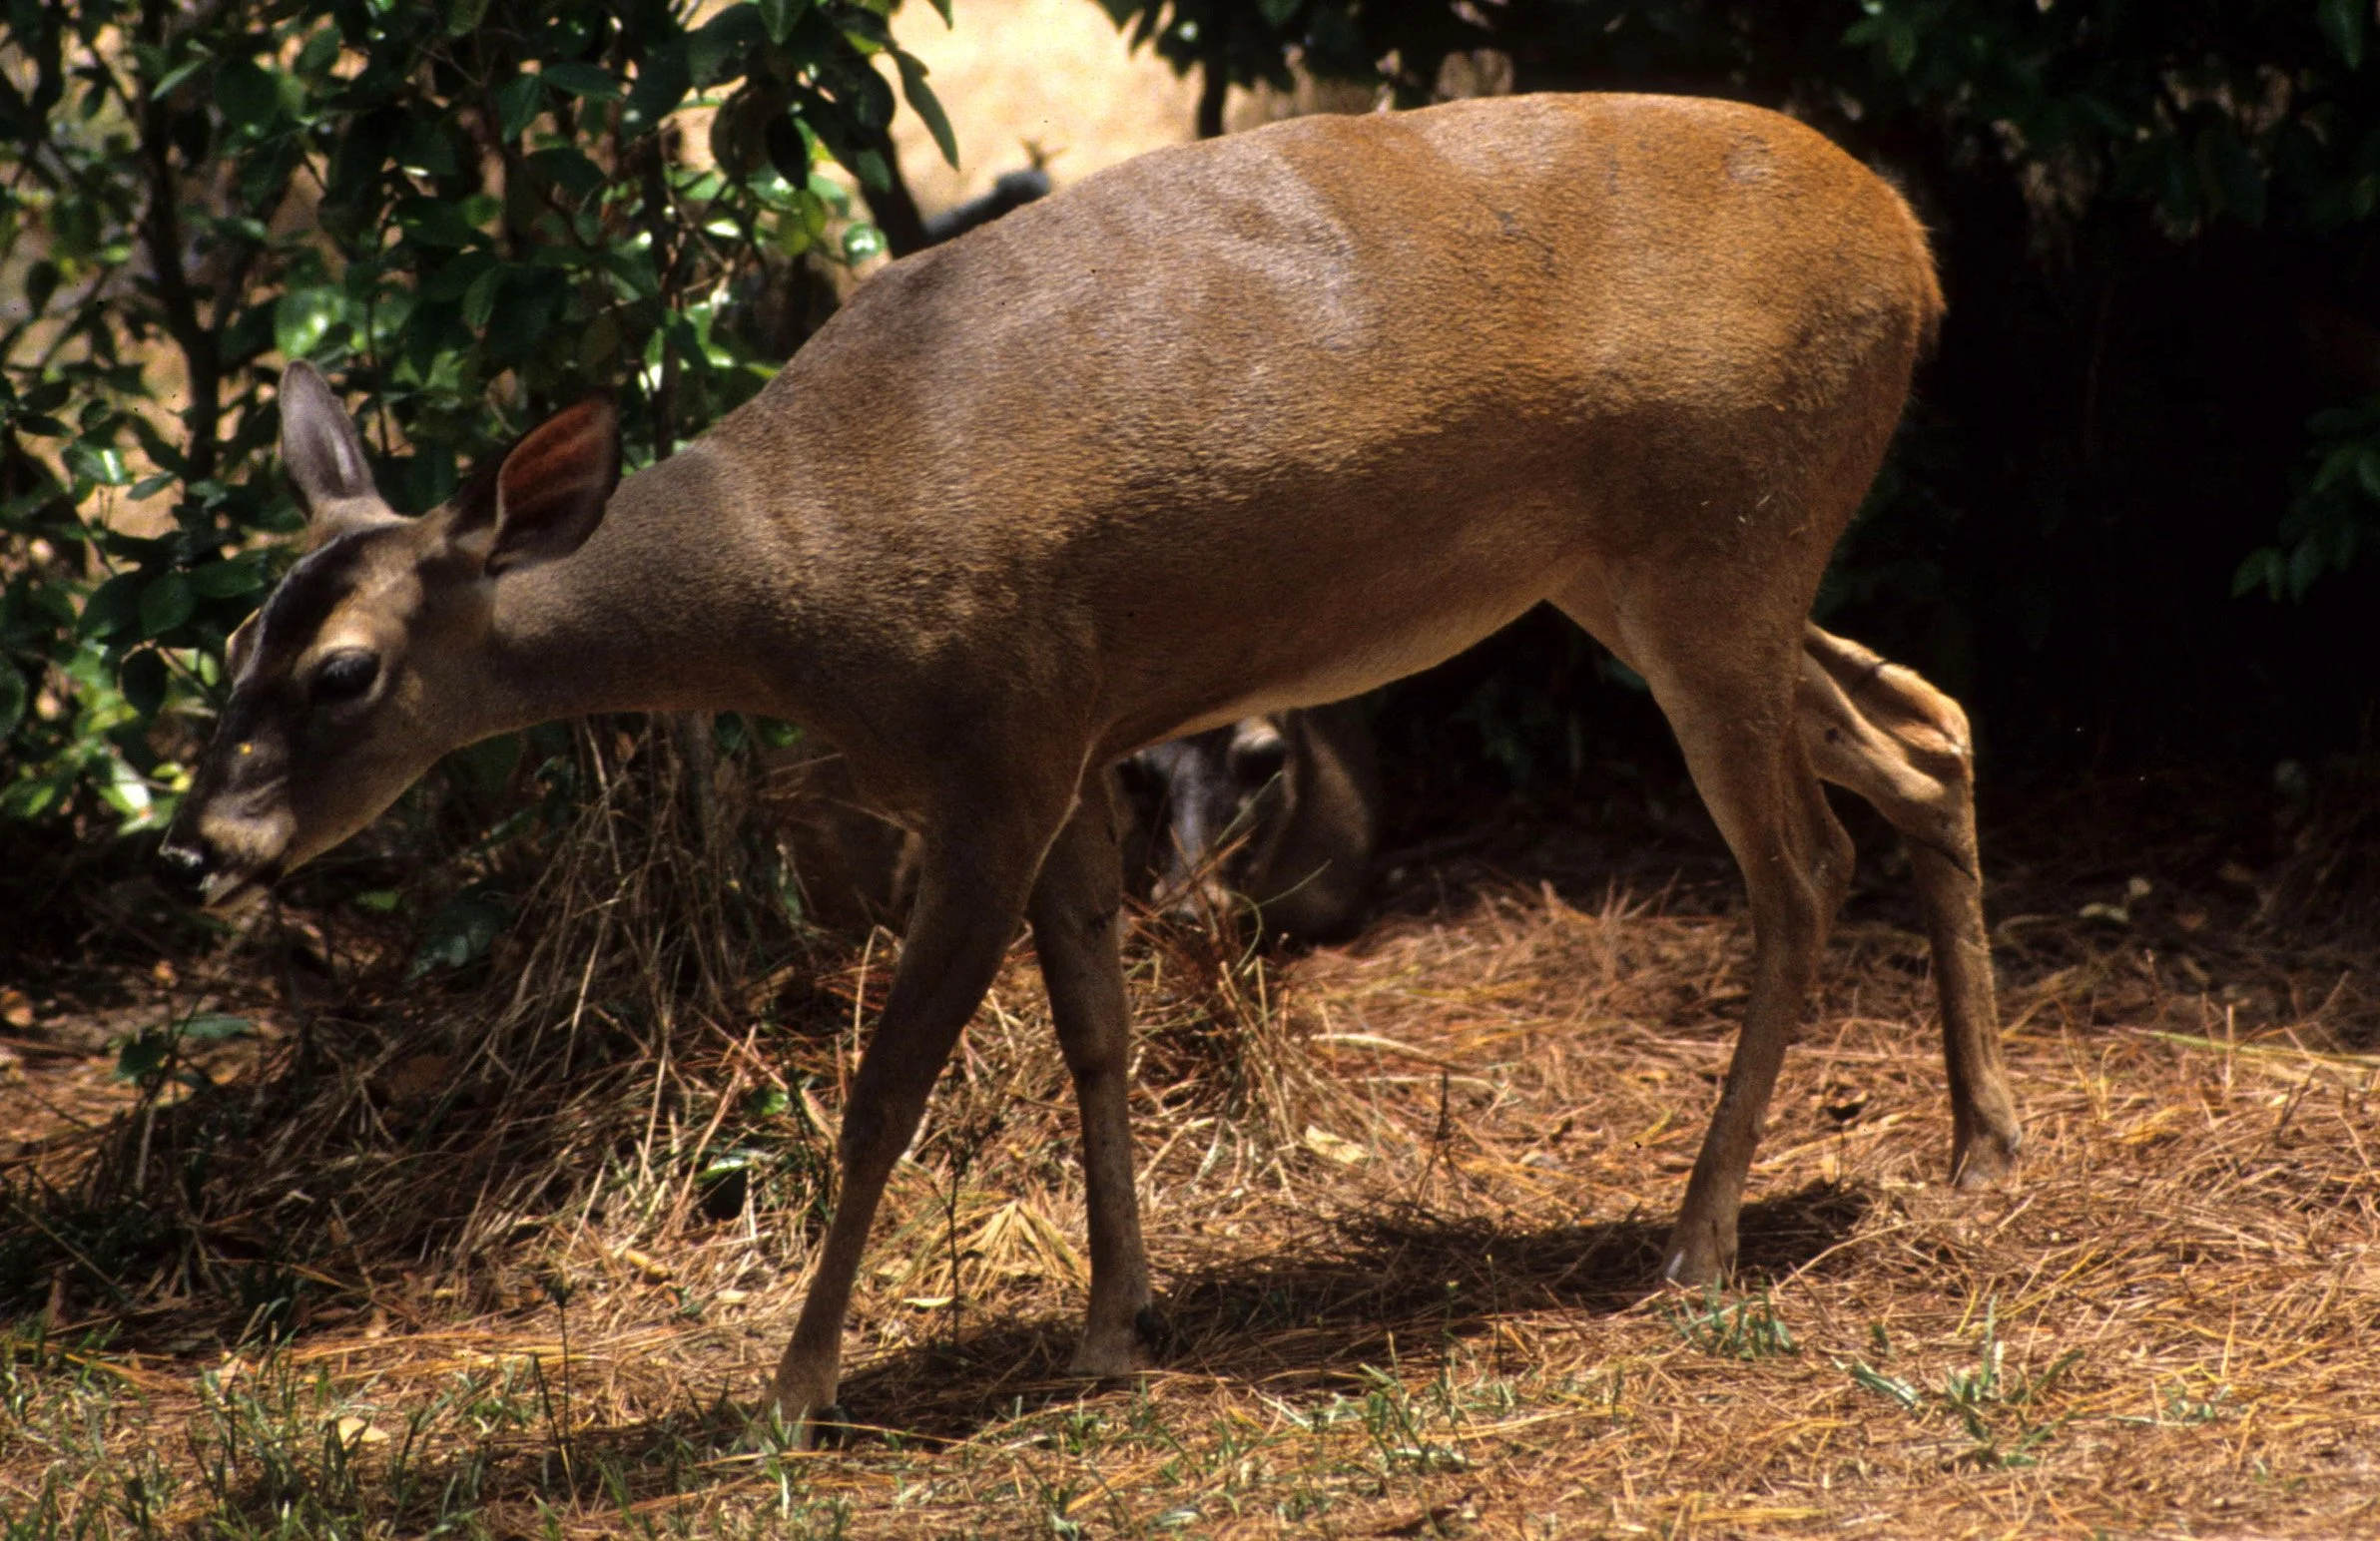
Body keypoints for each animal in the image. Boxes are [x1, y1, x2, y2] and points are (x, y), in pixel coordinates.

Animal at [159, 92, 2022, 1439]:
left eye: (343, 670)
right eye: (234, 640)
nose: (199, 845)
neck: (796, 574)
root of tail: (1919, 253)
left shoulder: (994, 741)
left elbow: (886, 1087)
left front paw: (792, 1391)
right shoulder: (1068, 739)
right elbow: (1096, 1036)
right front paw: (1113, 1324)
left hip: (1719, 529)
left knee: (1802, 863)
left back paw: (1697, 1240)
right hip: (1661, 569)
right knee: (1927, 726)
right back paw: (1978, 1141)